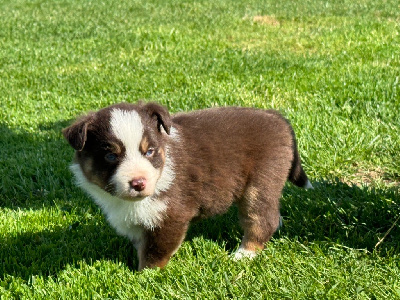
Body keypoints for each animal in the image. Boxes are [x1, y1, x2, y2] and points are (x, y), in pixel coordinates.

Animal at [63, 101, 312, 270]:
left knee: (261, 219)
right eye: (110, 157)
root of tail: (275, 117)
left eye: (149, 151)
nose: (139, 182)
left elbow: (154, 253)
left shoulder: (171, 215)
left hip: (260, 181)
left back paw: (243, 255)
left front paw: (144, 277)